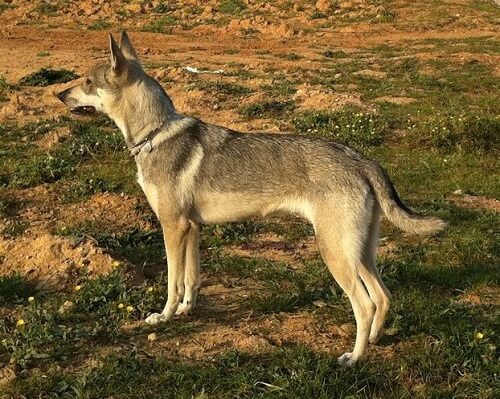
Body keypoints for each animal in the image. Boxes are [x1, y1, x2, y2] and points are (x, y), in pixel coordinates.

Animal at [56, 32, 448, 368]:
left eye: (87, 82)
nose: (59, 94)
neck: (154, 133)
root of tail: (362, 160)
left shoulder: (172, 227)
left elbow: (172, 282)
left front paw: (164, 316)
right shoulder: (191, 228)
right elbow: (191, 280)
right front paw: (185, 311)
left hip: (336, 254)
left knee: (365, 305)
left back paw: (354, 358)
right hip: (360, 253)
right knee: (383, 297)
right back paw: (376, 342)